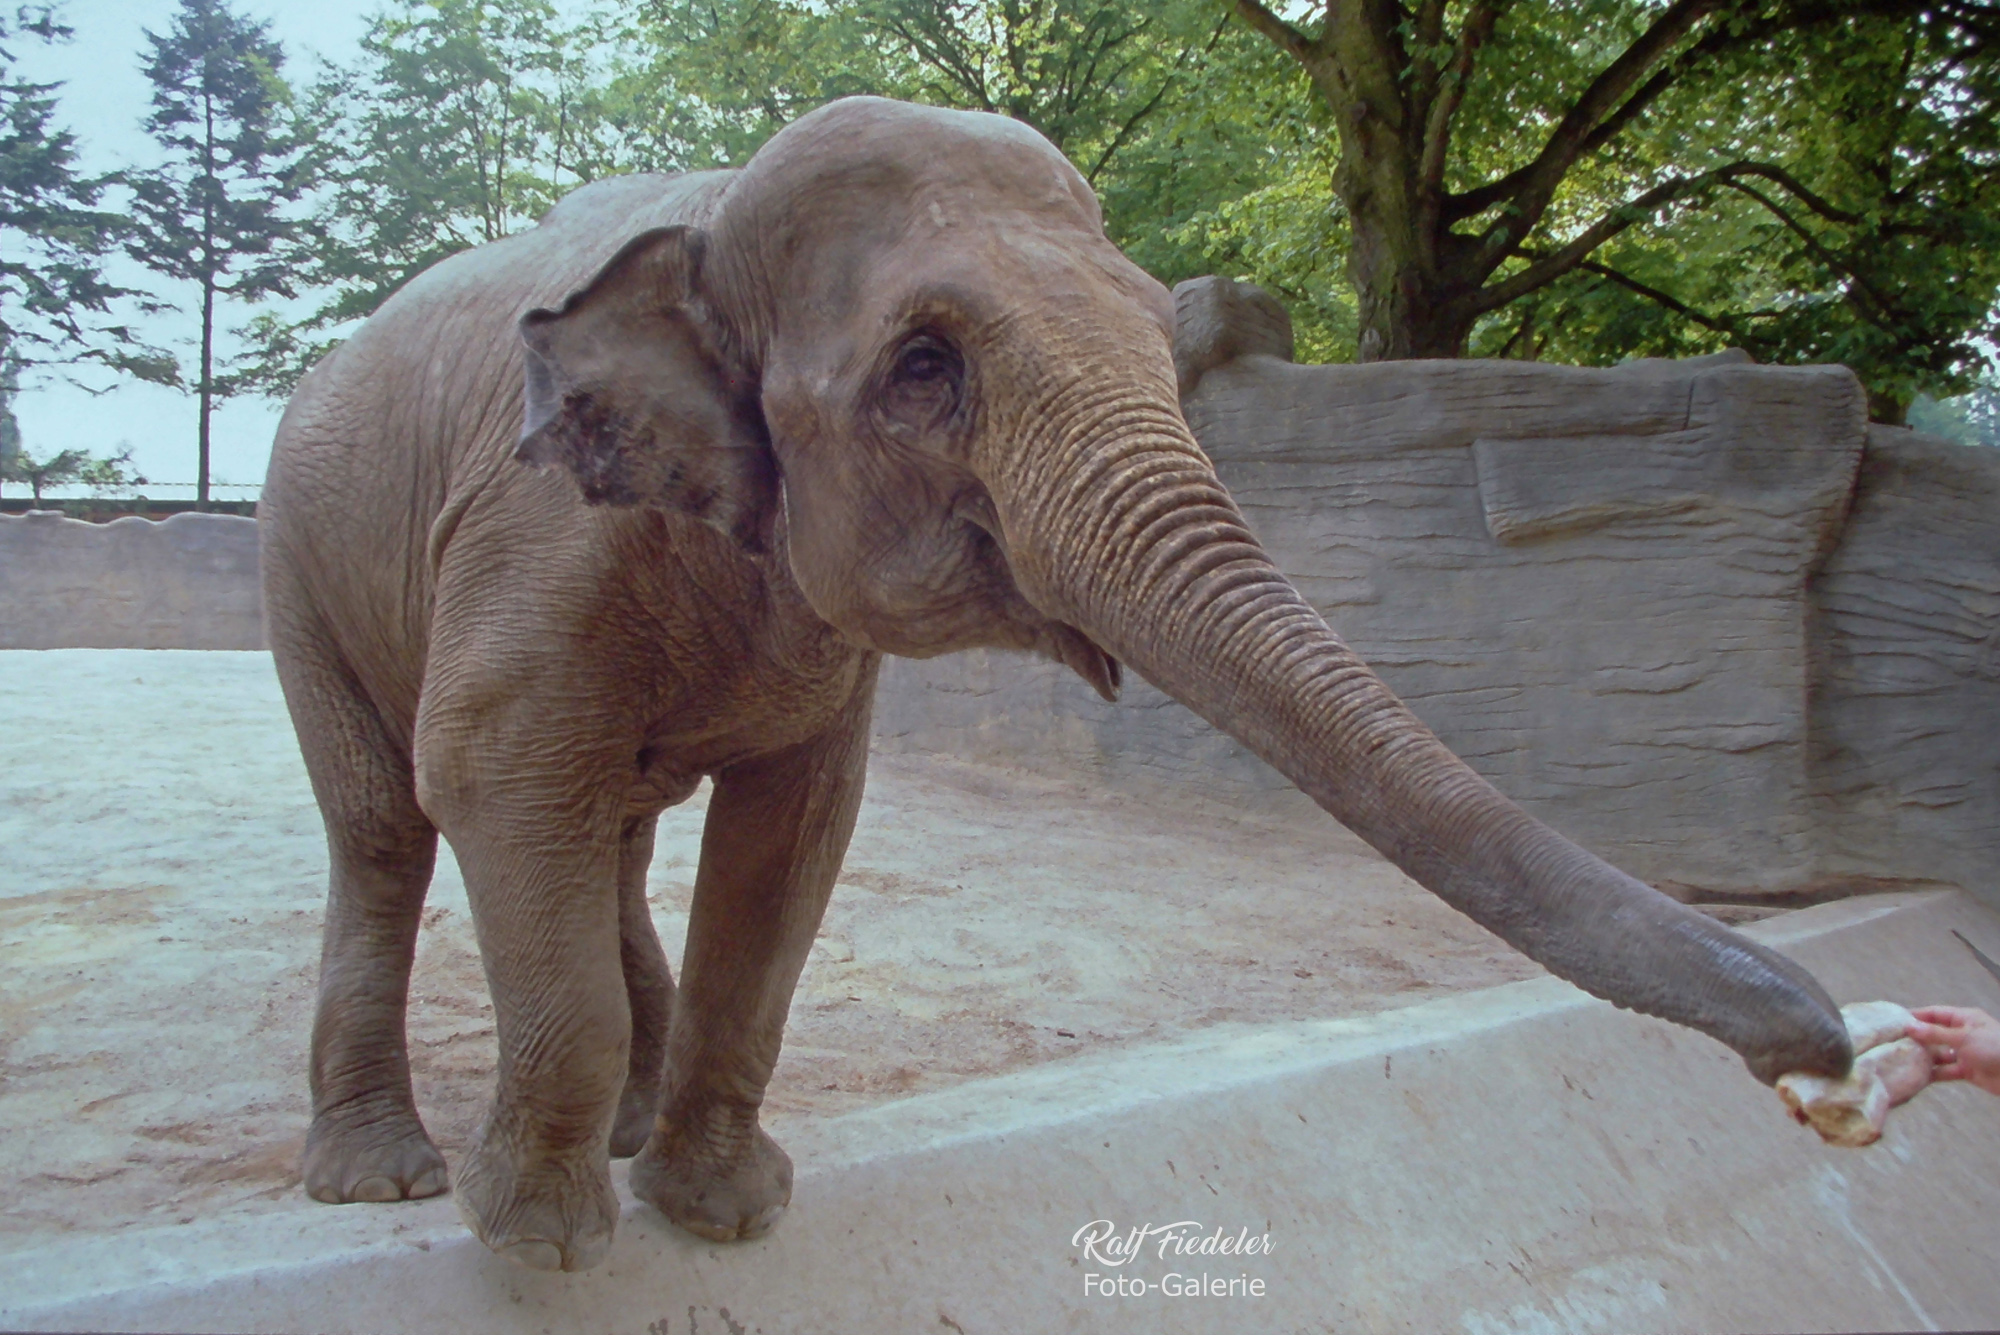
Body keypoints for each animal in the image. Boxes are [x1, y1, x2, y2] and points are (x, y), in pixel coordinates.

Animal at [259, 95, 1851, 1274]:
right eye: (922, 367)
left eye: (1162, 336)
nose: (1826, 1052)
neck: (705, 220)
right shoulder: (536, 539)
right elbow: (487, 771)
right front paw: (540, 1243)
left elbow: (795, 837)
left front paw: (723, 1210)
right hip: (298, 569)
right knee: (389, 825)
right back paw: (380, 1176)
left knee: (612, 835)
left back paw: (619, 1132)